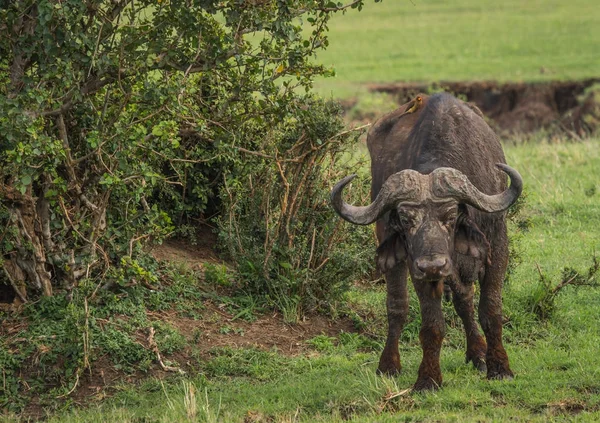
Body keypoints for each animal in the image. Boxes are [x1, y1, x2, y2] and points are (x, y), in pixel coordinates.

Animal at [330, 93, 524, 390]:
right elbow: (432, 324)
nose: (433, 265)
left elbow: (490, 309)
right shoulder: (417, 263)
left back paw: (477, 354)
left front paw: (499, 367)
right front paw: (429, 378)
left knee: (464, 298)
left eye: (451, 215)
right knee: (398, 305)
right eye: (406, 219)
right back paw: (388, 364)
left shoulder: (497, 242)